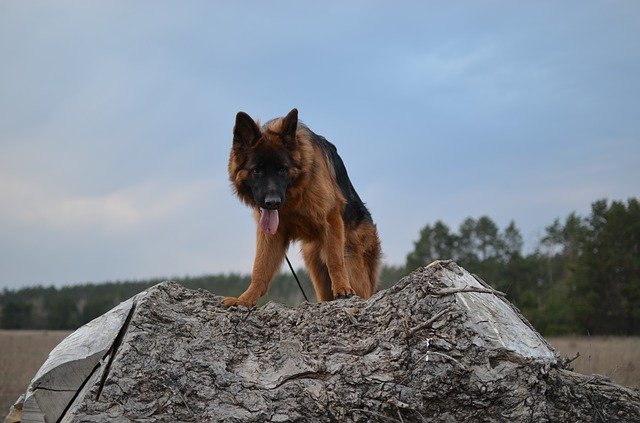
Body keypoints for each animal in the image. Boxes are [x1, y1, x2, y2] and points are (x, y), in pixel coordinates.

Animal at [226, 109, 380, 308]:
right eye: (256, 171)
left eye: (282, 169)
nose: (273, 202)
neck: (294, 196)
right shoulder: (271, 234)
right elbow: (260, 267)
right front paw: (245, 299)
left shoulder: (331, 219)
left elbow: (334, 260)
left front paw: (342, 288)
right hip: (317, 270)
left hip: (353, 262)